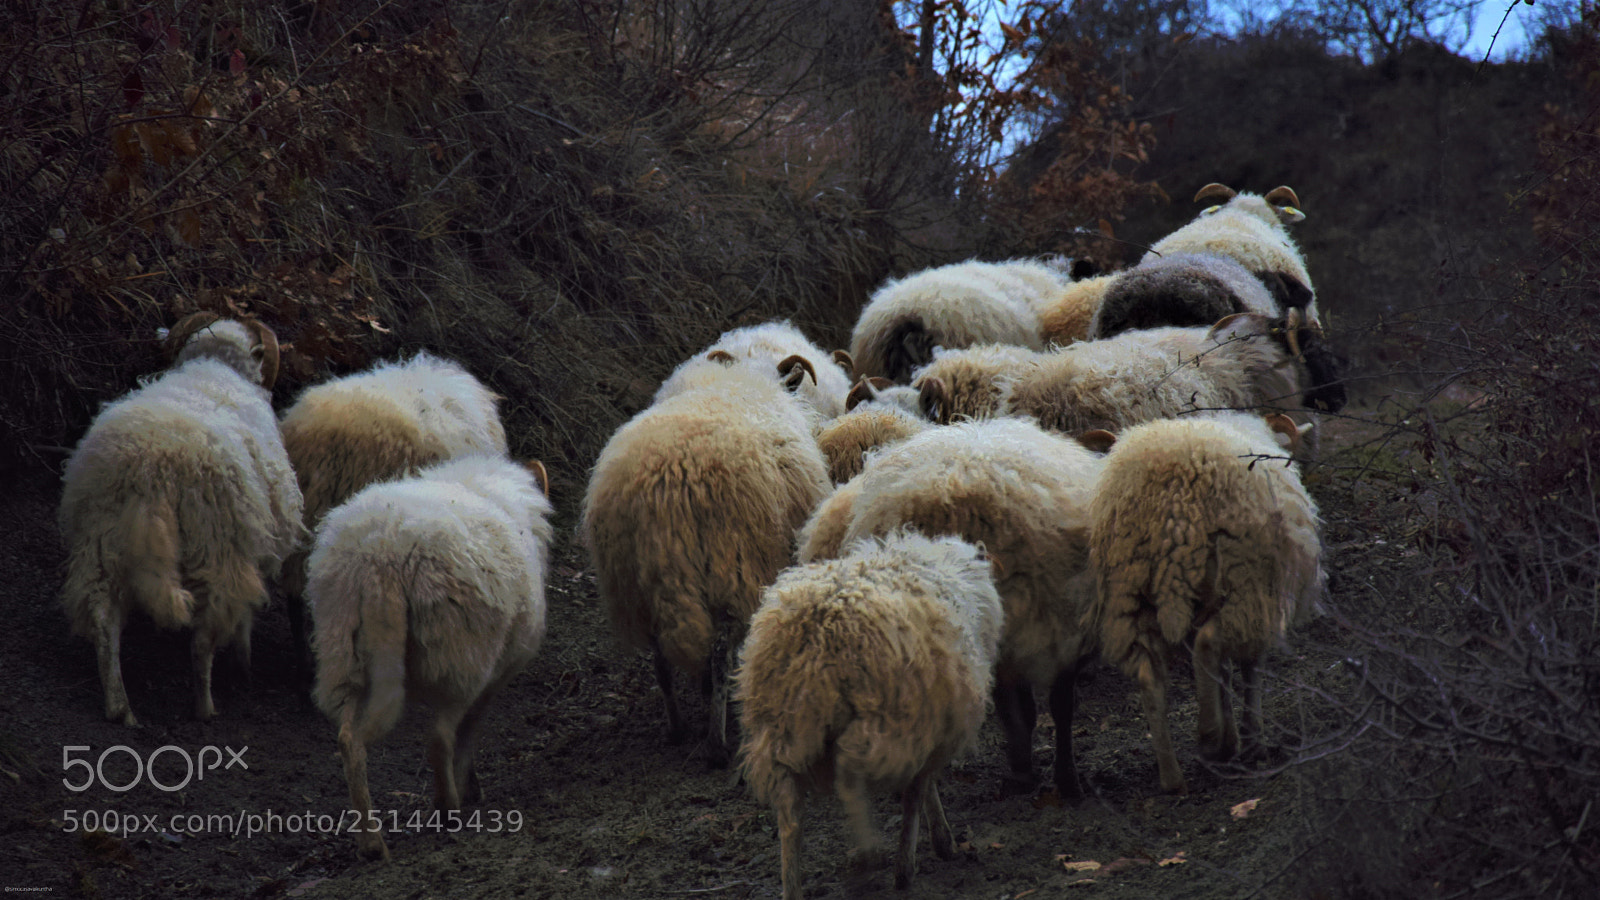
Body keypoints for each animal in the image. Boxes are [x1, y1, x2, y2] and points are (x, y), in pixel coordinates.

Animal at [58, 313, 301, 725]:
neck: (216, 365)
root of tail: (150, 470)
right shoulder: (251, 540)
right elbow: (247, 612)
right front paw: (243, 662)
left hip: (100, 542)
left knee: (104, 621)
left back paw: (119, 706)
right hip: (216, 549)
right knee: (203, 641)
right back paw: (204, 707)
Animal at [309, 454, 553, 861]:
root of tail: (381, 559)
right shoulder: (494, 674)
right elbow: (471, 729)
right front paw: (470, 786)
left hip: (342, 649)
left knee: (349, 740)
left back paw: (371, 842)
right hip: (463, 656)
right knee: (439, 737)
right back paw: (447, 807)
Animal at [582, 354, 831, 765]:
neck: (746, 380)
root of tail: (666, 482)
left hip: (636, 581)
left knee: (660, 656)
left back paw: (676, 728)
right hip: (730, 562)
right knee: (718, 651)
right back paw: (717, 741)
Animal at [737, 530, 1004, 898]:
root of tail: (817, 629)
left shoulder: (928, 727)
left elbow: (922, 789)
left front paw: (938, 841)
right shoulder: (925, 727)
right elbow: (916, 794)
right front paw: (916, 858)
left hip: (783, 730)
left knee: (790, 815)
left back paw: (792, 886)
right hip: (879, 724)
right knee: (849, 778)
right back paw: (869, 852)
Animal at [1086, 411, 1323, 794]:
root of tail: (1172, 504)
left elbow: (1224, 673)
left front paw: (1235, 737)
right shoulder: (1262, 598)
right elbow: (1250, 669)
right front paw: (1250, 739)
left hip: (1127, 589)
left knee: (1149, 676)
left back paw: (1172, 776)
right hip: (1243, 578)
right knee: (1208, 645)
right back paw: (1210, 739)